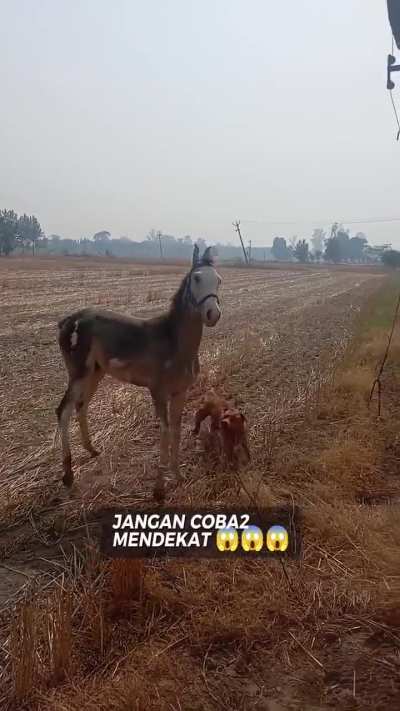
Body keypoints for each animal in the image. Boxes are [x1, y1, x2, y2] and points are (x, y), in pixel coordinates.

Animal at [56, 245, 222, 497]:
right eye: (197, 277)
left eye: (219, 280)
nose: (213, 314)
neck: (173, 342)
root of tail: (68, 321)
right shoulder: (158, 392)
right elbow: (164, 432)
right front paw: (159, 489)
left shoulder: (180, 392)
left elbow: (176, 430)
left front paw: (178, 476)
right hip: (78, 373)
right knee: (63, 411)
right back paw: (67, 475)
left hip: (95, 373)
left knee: (80, 406)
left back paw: (92, 450)